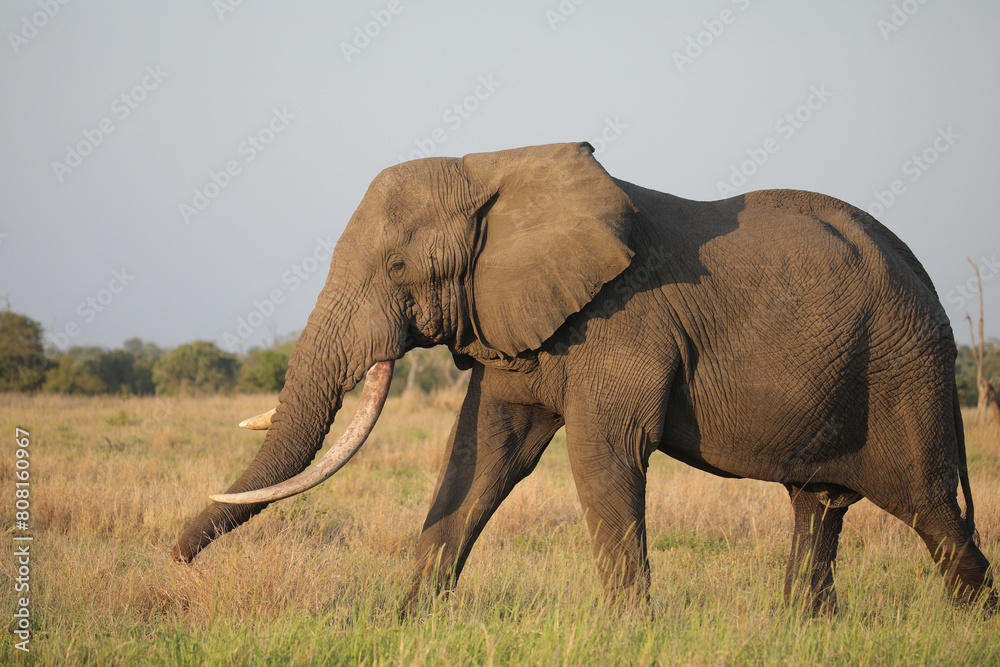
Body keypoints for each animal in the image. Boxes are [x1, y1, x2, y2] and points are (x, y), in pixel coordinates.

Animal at [172, 142, 996, 614]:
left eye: (399, 267)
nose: (176, 560)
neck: (498, 169)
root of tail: (928, 280)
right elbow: (480, 458)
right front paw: (404, 624)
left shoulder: (620, 324)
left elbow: (604, 455)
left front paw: (630, 634)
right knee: (818, 508)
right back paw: (803, 627)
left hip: (906, 374)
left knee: (933, 515)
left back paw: (966, 625)